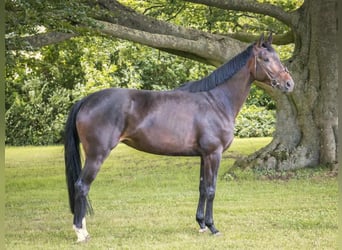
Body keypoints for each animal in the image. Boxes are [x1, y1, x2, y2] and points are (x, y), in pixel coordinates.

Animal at [64, 33, 294, 242]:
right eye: (265, 59)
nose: (289, 84)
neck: (217, 102)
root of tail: (86, 100)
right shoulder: (214, 153)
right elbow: (211, 189)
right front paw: (213, 227)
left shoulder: (203, 155)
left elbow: (202, 188)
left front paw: (201, 224)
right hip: (97, 155)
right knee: (82, 186)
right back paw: (81, 233)